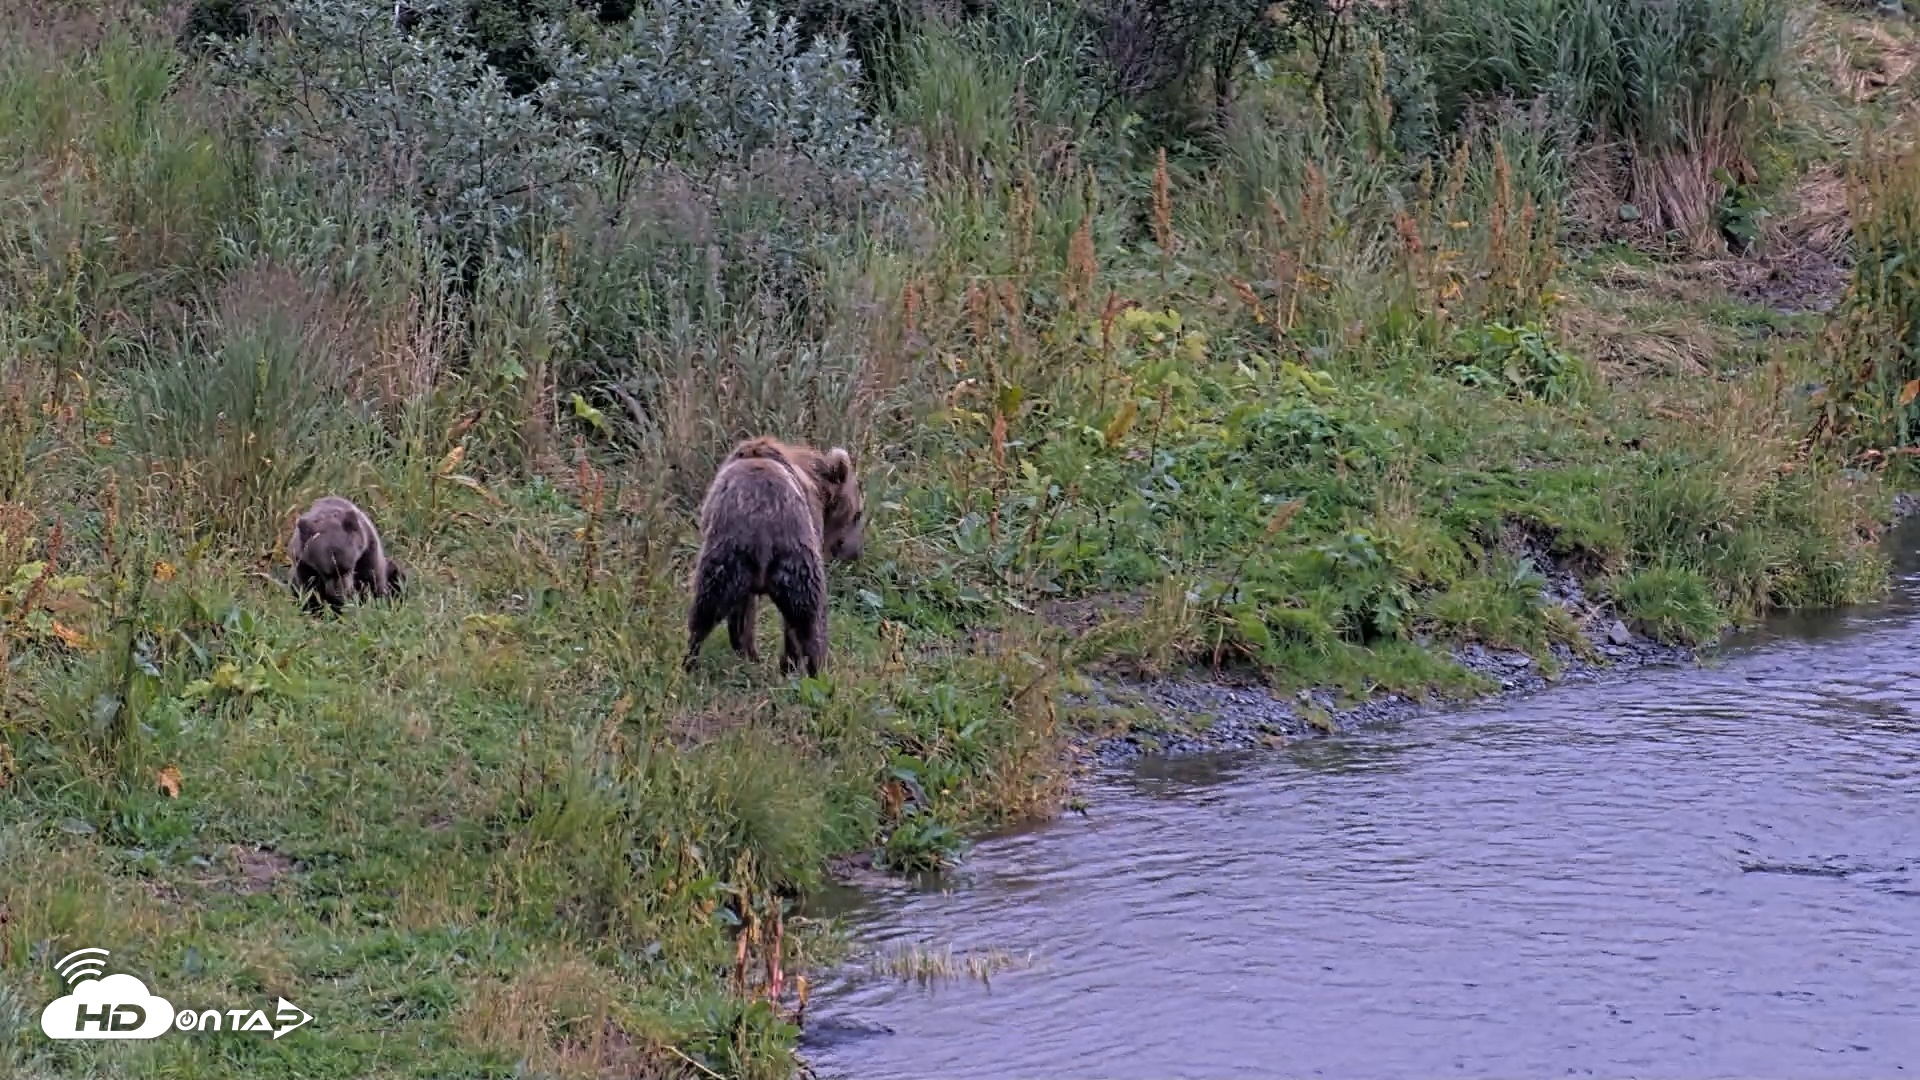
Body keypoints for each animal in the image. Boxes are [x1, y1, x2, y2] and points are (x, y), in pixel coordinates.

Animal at [684, 436, 864, 677]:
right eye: (858, 514)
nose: (855, 553)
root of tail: (763, 527)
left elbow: (743, 613)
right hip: (793, 559)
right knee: (810, 618)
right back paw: (813, 668)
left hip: (728, 561)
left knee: (705, 612)